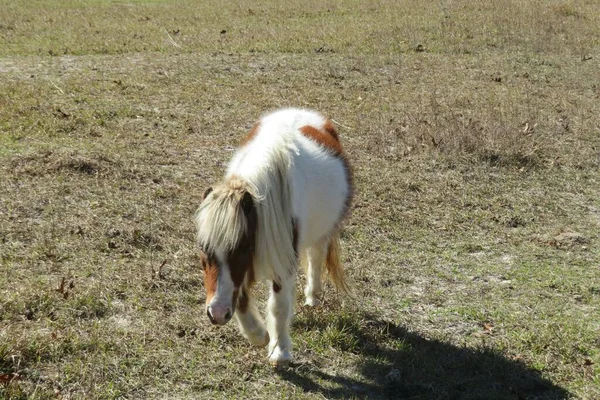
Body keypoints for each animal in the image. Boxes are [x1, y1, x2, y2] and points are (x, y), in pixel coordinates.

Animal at [195, 108, 352, 364]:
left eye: (242, 247)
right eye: (203, 247)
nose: (216, 314)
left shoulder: (281, 259)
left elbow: (278, 306)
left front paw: (280, 351)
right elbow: (240, 298)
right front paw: (259, 336)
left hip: (323, 231)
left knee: (316, 256)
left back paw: (313, 296)